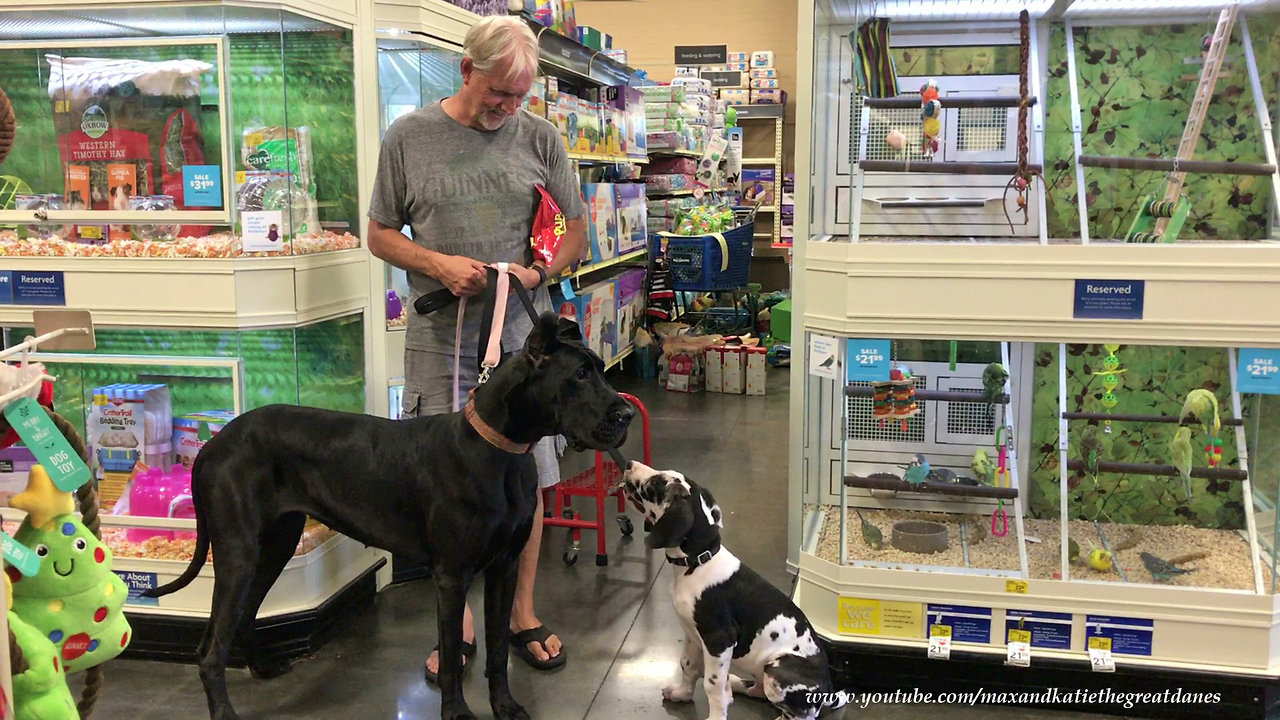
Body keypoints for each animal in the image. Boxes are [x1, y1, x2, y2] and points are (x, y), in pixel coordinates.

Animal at [619, 458, 849, 717]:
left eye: (655, 484)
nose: (629, 463)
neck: (699, 563)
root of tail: (827, 689)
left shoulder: (719, 639)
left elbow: (712, 684)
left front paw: (715, 715)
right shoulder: (692, 634)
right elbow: (688, 666)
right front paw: (683, 694)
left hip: (777, 669)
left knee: (804, 712)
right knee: (759, 690)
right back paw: (737, 683)